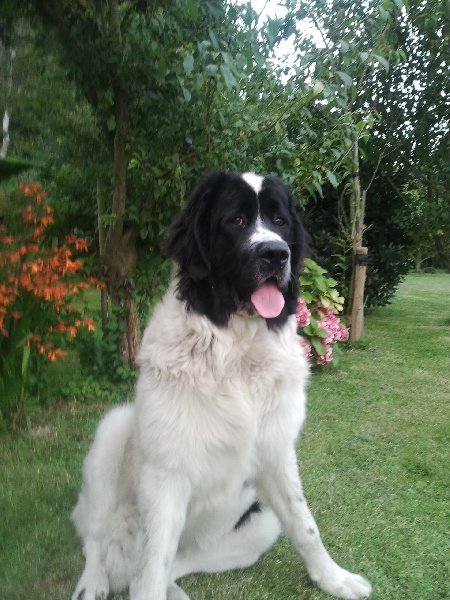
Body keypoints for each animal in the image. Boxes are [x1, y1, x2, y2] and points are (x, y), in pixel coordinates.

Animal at [71, 171, 372, 600]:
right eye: (236, 221)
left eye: (280, 221)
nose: (276, 254)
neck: (237, 353)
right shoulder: (165, 473)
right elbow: (150, 565)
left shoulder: (276, 452)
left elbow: (305, 524)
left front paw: (334, 578)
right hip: (112, 433)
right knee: (98, 539)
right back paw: (92, 583)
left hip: (260, 525)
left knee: (174, 565)